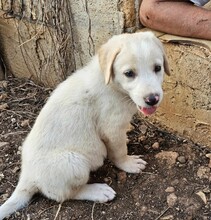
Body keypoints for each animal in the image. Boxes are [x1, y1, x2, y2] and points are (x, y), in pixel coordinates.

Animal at [0, 31, 169, 219]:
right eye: (129, 73)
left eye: (157, 68)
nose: (152, 99)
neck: (110, 83)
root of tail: (27, 177)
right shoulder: (112, 127)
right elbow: (119, 152)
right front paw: (128, 164)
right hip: (76, 162)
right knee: (64, 195)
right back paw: (97, 191)